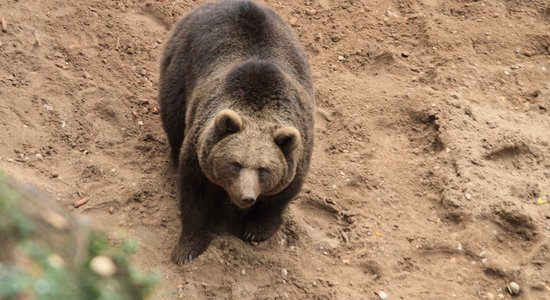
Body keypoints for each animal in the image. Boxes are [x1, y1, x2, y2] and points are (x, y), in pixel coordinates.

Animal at [158, 0, 314, 264]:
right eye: (235, 163)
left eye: (263, 168)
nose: (246, 197)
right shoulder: (200, 153)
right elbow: (195, 199)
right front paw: (186, 249)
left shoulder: (297, 150)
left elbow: (280, 196)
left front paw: (256, 229)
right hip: (179, 65)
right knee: (173, 115)